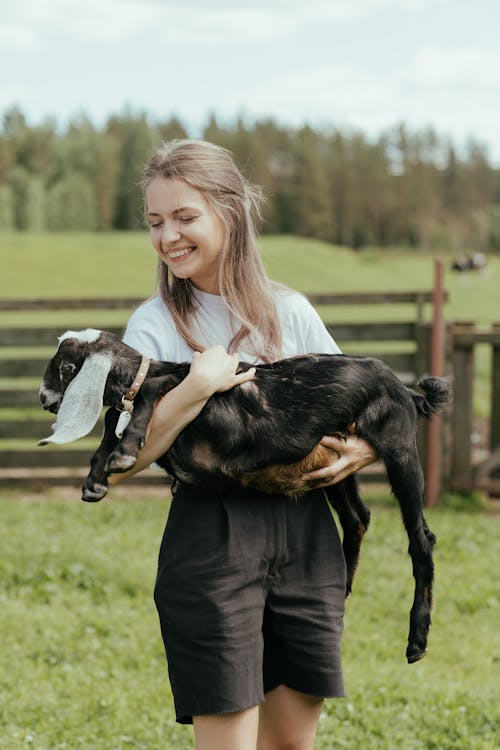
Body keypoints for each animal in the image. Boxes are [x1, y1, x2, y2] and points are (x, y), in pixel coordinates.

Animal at [39, 328, 452, 664]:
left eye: (65, 365)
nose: (43, 398)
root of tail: (406, 390)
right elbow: (112, 418)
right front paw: (96, 478)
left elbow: (144, 398)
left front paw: (125, 449)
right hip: (335, 464)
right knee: (358, 518)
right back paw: (346, 585)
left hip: (400, 452)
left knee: (421, 541)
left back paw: (417, 638)